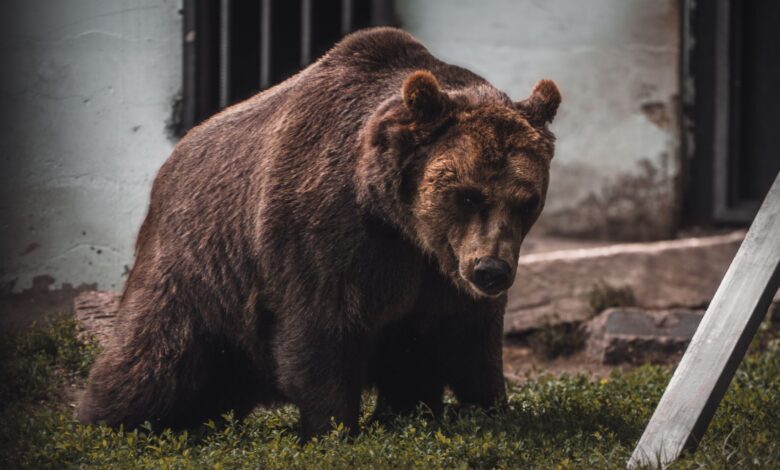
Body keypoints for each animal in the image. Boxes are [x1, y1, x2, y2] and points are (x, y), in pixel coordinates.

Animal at [78, 27, 561, 439]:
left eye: (526, 200)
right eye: (467, 195)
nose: (491, 270)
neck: (400, 221)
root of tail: (169, 164)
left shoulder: (440, 271)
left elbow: (469, 340)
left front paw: (491, 407)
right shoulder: (326, 234)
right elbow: (322, 331)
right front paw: (333, 429)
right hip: (197, 268)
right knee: (152, 362)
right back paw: (105, 422)